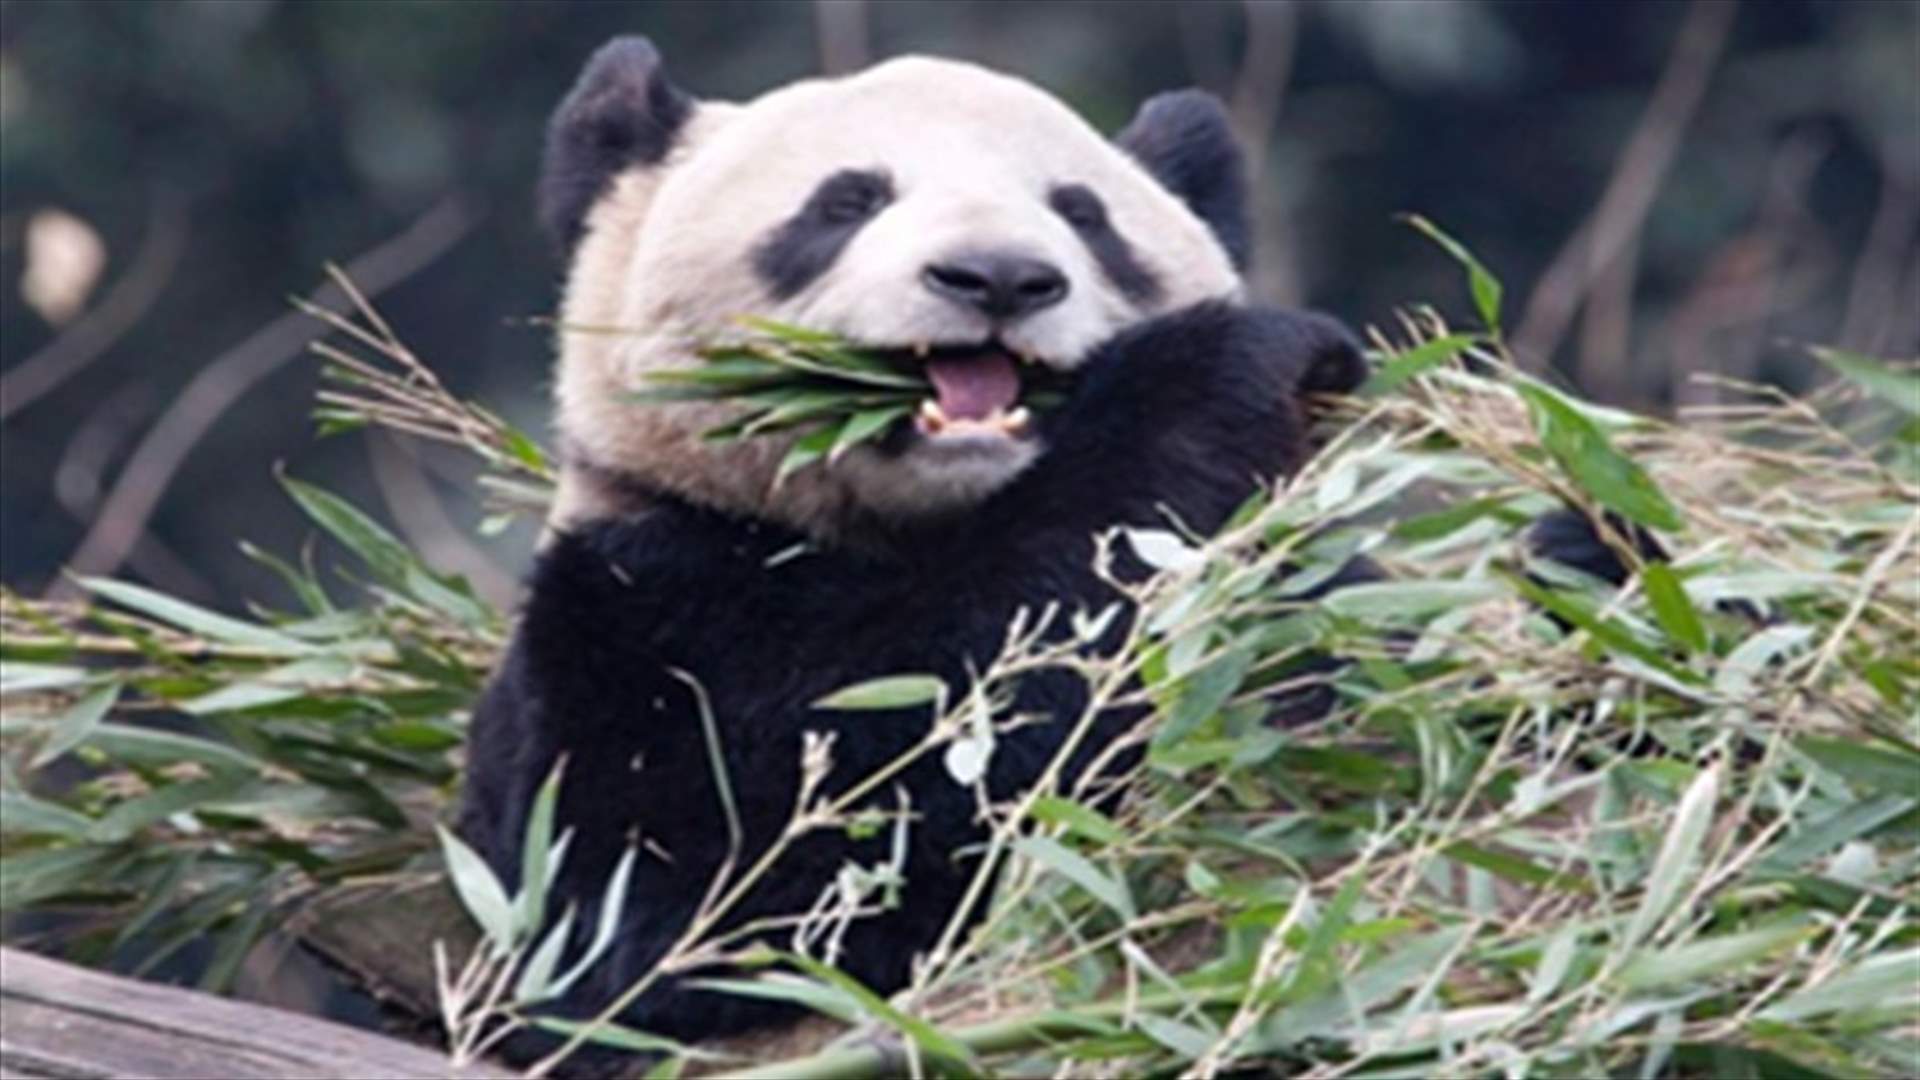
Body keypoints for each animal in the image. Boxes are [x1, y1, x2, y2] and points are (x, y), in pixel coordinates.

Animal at [461, 36, 1387, 1050]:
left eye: (1083, 212)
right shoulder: (636, 613)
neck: (923, 521)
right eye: (846, 201)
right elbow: (731, 886)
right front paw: (1234, 363)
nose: (999, 276)